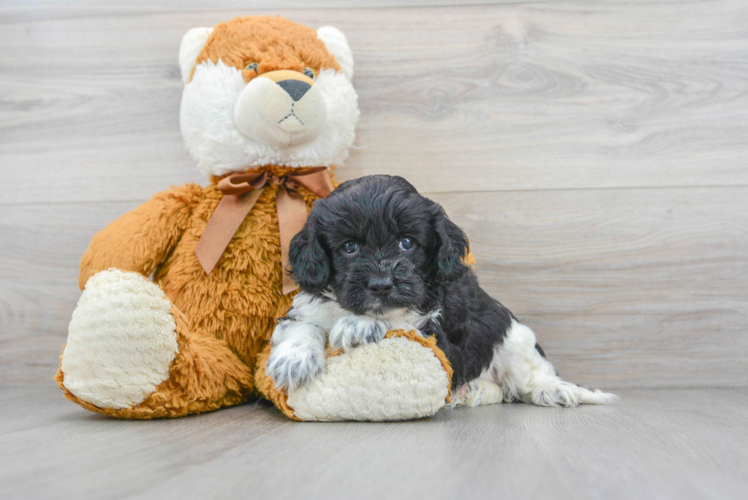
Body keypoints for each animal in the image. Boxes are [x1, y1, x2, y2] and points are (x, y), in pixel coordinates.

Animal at [266, 175, 616, 406]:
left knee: (528, 377)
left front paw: (360, 324)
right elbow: (303, 325)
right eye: (349, 247)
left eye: (407, 243)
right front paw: (293, 358)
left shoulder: (437, 332)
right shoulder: (308, 306)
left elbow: (401, 320)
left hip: (513, 338)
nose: (381, 284)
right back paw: (471, 392)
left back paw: (554, 390)